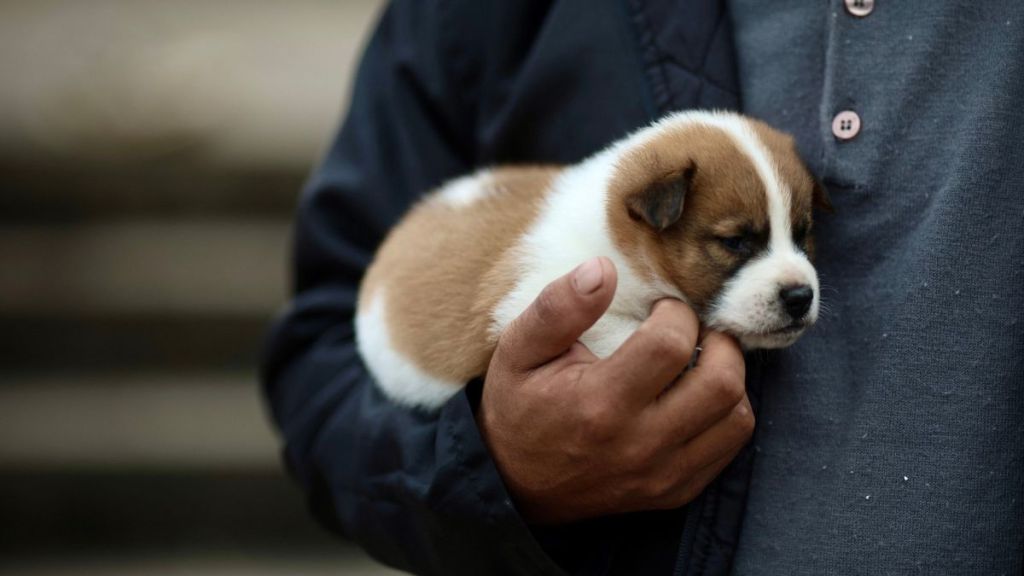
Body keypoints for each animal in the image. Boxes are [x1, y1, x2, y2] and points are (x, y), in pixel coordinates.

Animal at [356, 109, 827, 407]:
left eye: (802, 233)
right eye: (734, 242)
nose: (800, 296)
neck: (623, 247)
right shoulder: (525, 300)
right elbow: (610, 328)